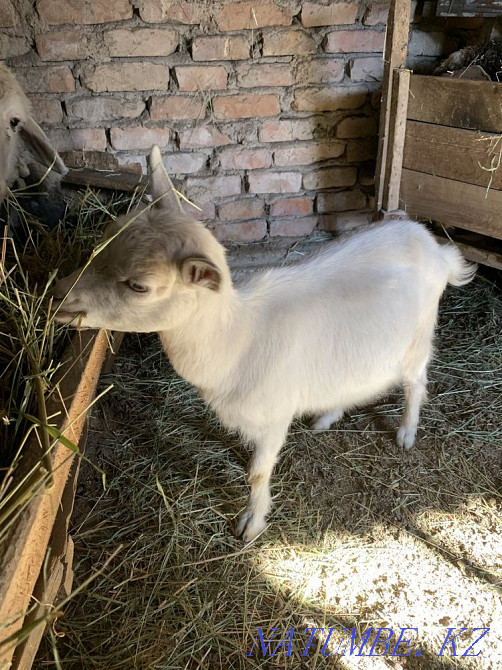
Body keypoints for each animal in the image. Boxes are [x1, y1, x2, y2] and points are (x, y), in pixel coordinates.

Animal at [51, 145, 476, 542]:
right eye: (105, 237)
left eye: (139, 285)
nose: (58, 297)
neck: (235, 340)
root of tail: (436, 248)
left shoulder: (275, 416)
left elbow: (258, 473)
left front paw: (251, 524)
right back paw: (327, 416)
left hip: (419, 336)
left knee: (416, 383)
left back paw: (406, 433)